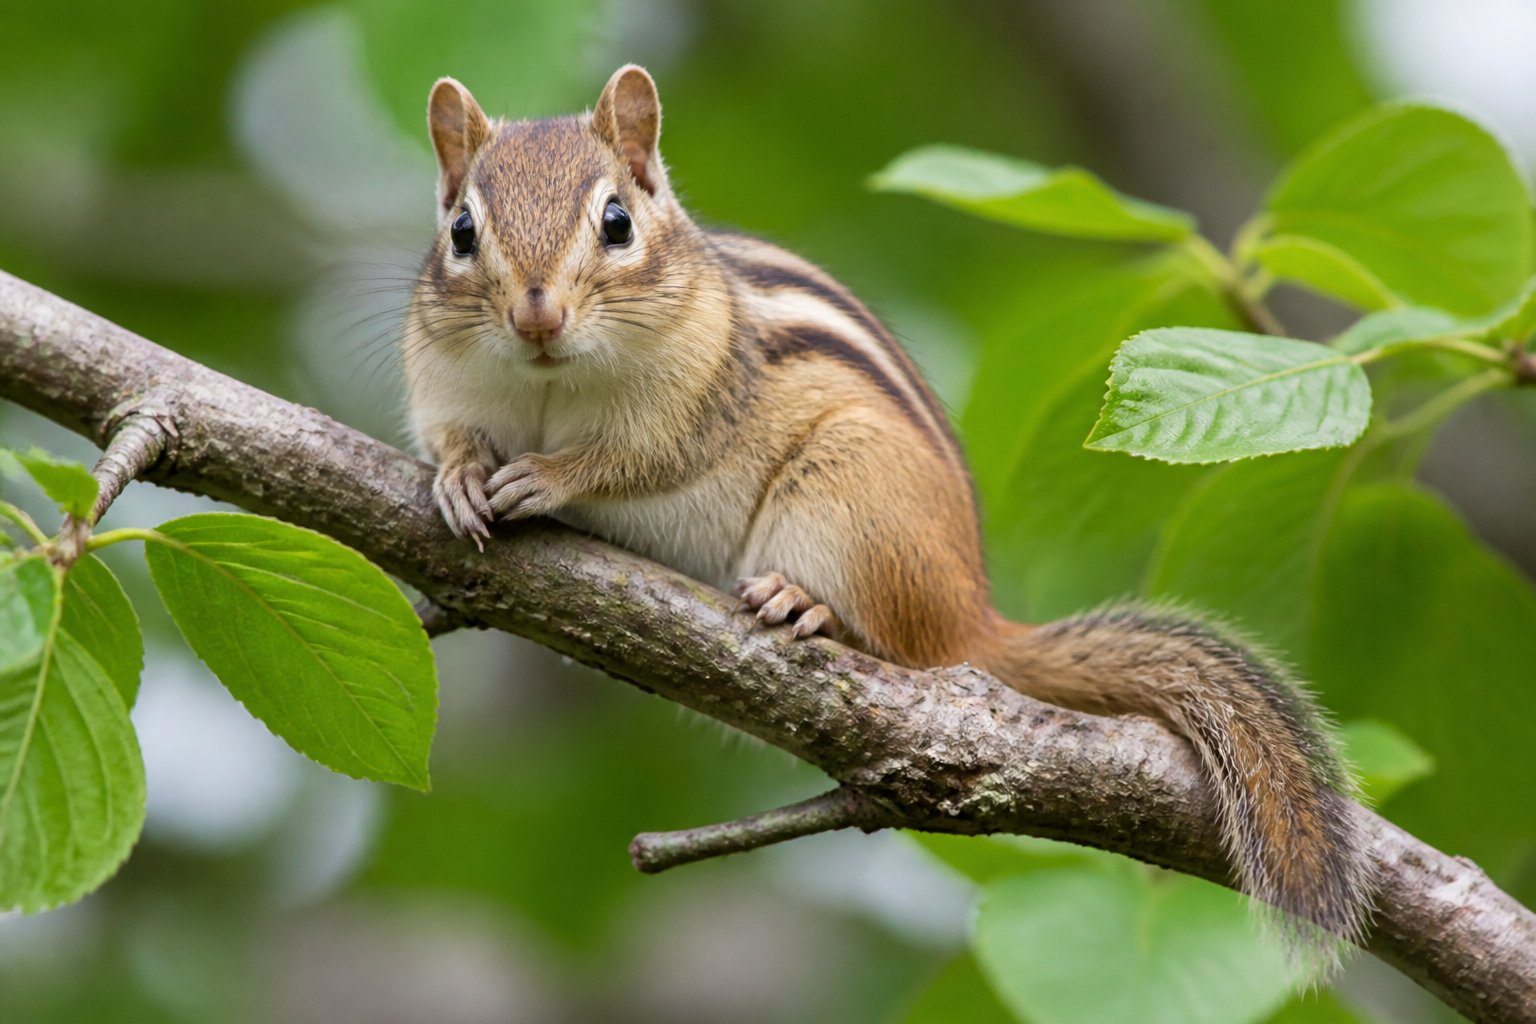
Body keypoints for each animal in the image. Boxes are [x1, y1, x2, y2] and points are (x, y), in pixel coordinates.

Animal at [402, 64, 1374, 952]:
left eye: (616, 224)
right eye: (461, 231)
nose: (537, 317)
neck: (546, 384)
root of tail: (975, 619)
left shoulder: (698, 396)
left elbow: (632, 460)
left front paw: (547, 476)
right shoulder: (443, 382)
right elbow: (450, 435)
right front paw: (460, 475)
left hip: (851, 499)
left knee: (900, 646)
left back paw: (805, 605)